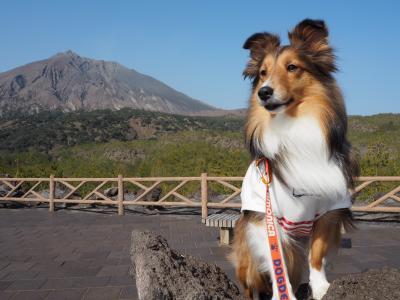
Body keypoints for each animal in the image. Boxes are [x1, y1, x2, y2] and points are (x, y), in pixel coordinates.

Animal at [231, 19, 360, 300]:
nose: (264, 92)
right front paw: (282, 293)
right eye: (263, 73)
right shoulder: (263, 217)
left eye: (292, 67)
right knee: (251, 283)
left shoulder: (328, 211)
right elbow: (275, 259)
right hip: (246, 259)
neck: (293, 126)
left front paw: (321, 287)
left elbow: (317, 254)